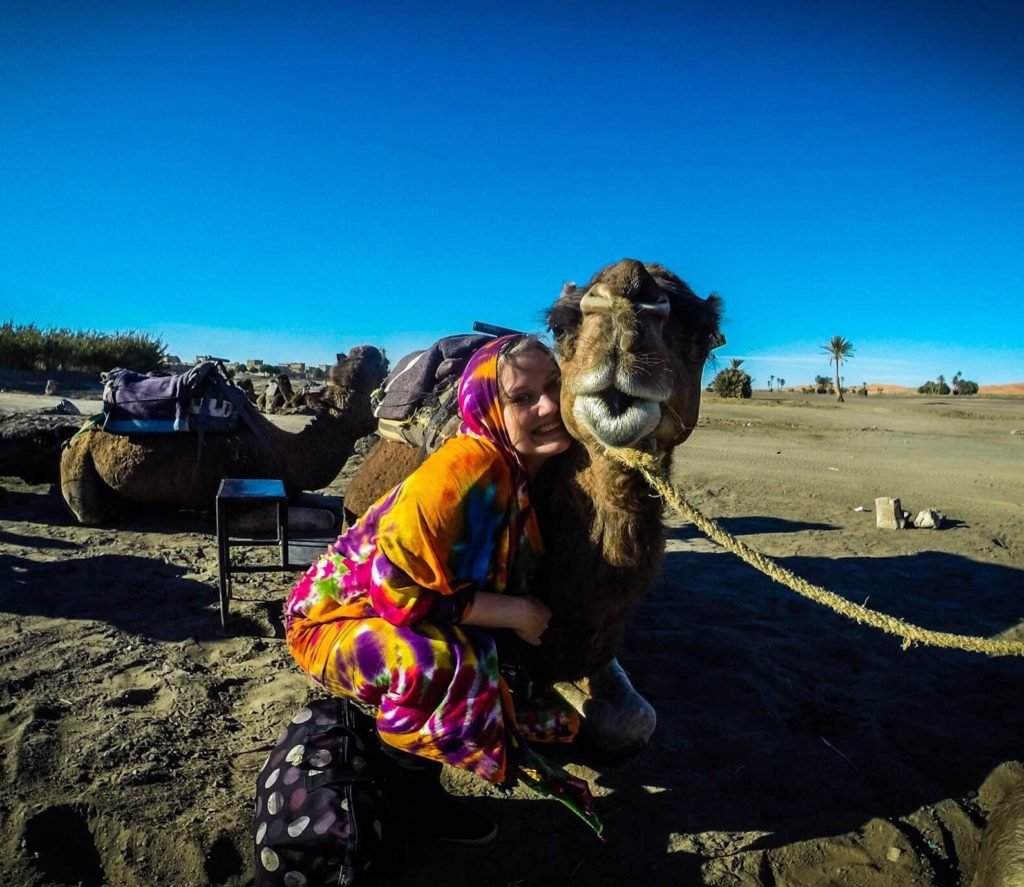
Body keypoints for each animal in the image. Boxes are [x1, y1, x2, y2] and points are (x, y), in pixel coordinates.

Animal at [59, 345, 388, 525]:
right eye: (372, 381)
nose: (376, 351)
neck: (286, 452)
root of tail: (80, 432)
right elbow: (326, 517)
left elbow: (330, 506)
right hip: (77, 457)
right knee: (88, 511)